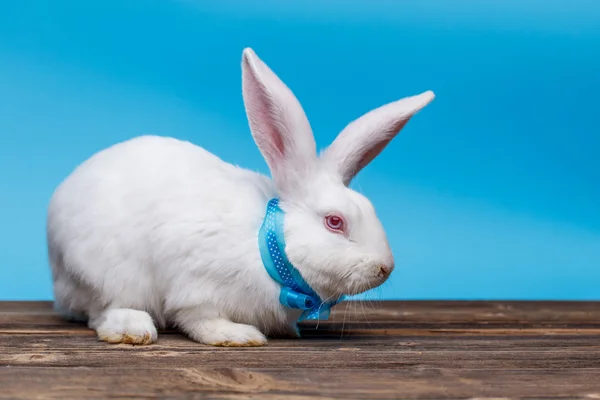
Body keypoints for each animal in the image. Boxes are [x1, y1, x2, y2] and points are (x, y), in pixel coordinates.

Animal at [45, 47, 432, 346]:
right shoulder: (195, 287)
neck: (266, 245)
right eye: (334, 222)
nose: (385, 267)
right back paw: (133, 329)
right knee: (102, 312)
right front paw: (238, 336)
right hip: (106, 274)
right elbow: (200, 319)